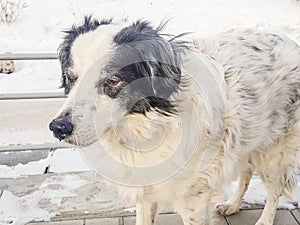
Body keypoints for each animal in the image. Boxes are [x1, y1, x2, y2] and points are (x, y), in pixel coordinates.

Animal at [49, 14, 300, 224]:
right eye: (71, 78)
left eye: (112, 81)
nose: (58, 127)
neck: (145, 129)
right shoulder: (146, 188)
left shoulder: (193, 201)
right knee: (246, 172)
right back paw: (232, 204)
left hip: (273, 152)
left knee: (274, 190)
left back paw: (264, 220)